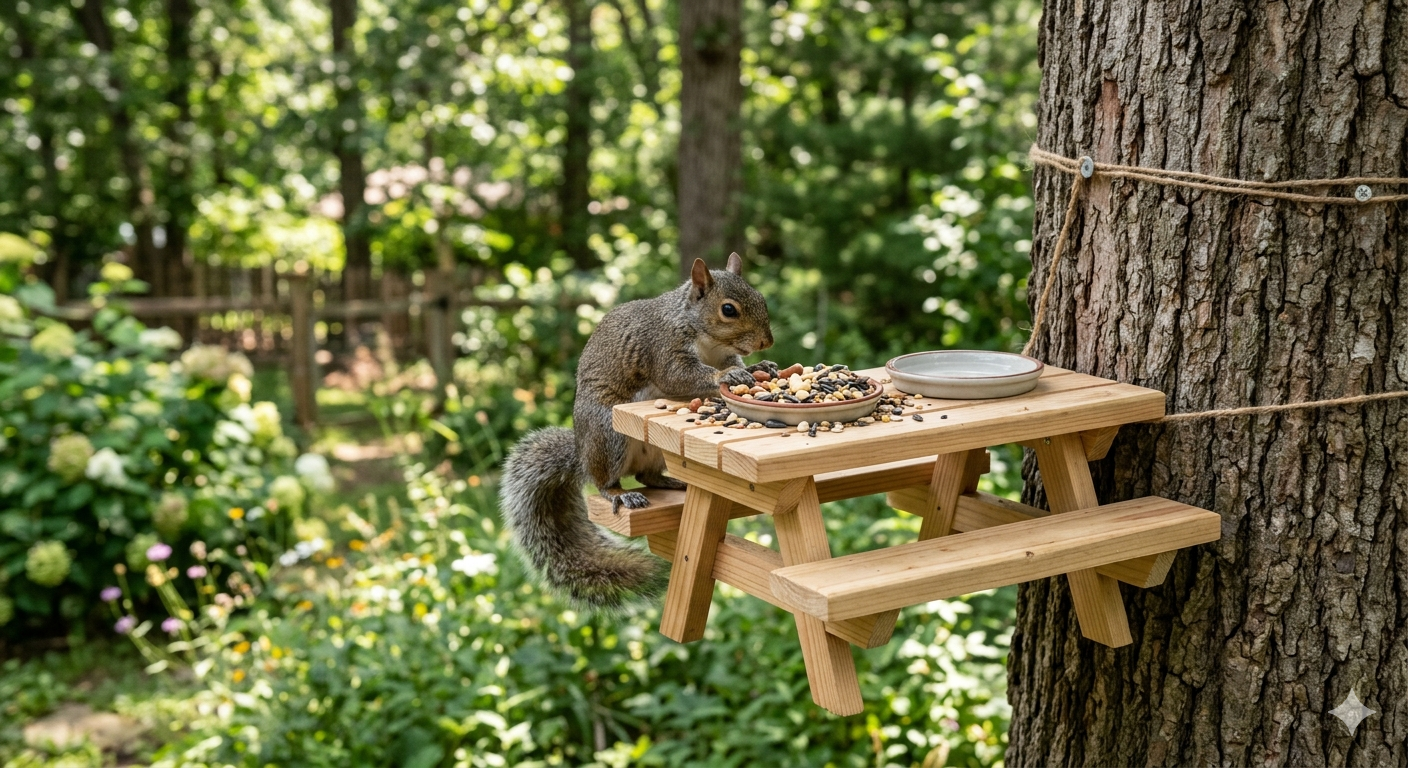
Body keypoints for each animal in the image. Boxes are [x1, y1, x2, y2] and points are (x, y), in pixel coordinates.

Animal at [499, 253, 776, 612]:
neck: (707, 340)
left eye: (760, 297)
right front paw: (726, 376)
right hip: (608, 435)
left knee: (647, 476)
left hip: (655, 450)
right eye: (728, 309)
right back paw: (620, 494)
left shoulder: (722, 353)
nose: (767, 342)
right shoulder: (664, 347)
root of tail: (582, 455)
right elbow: (679, 375)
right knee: (603, 482)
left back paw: (673, 481)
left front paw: (760, 366)